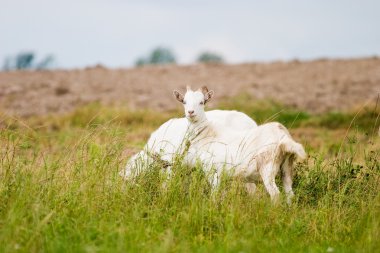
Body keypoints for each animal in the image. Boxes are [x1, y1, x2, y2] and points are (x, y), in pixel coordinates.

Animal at [174, 86, 308, 204]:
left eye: (202, 102)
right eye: (184, 102)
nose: (190, 112)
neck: (208, 133)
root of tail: (283, 136)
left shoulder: (213, 171)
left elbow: (214, 194)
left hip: (267, 166)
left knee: (275, 194)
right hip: (287, 166)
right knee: (290, 193)